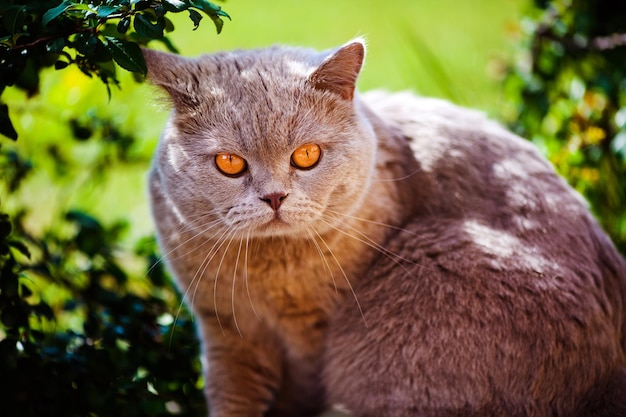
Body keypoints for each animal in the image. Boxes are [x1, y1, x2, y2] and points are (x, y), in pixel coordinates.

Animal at [141, 39, 624, 416]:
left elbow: (300, 393)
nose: (274, 197)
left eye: (307, 155)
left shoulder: (316, 338)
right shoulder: (224, 330)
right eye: (229, 163)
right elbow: (232, 398)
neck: (265, 275)